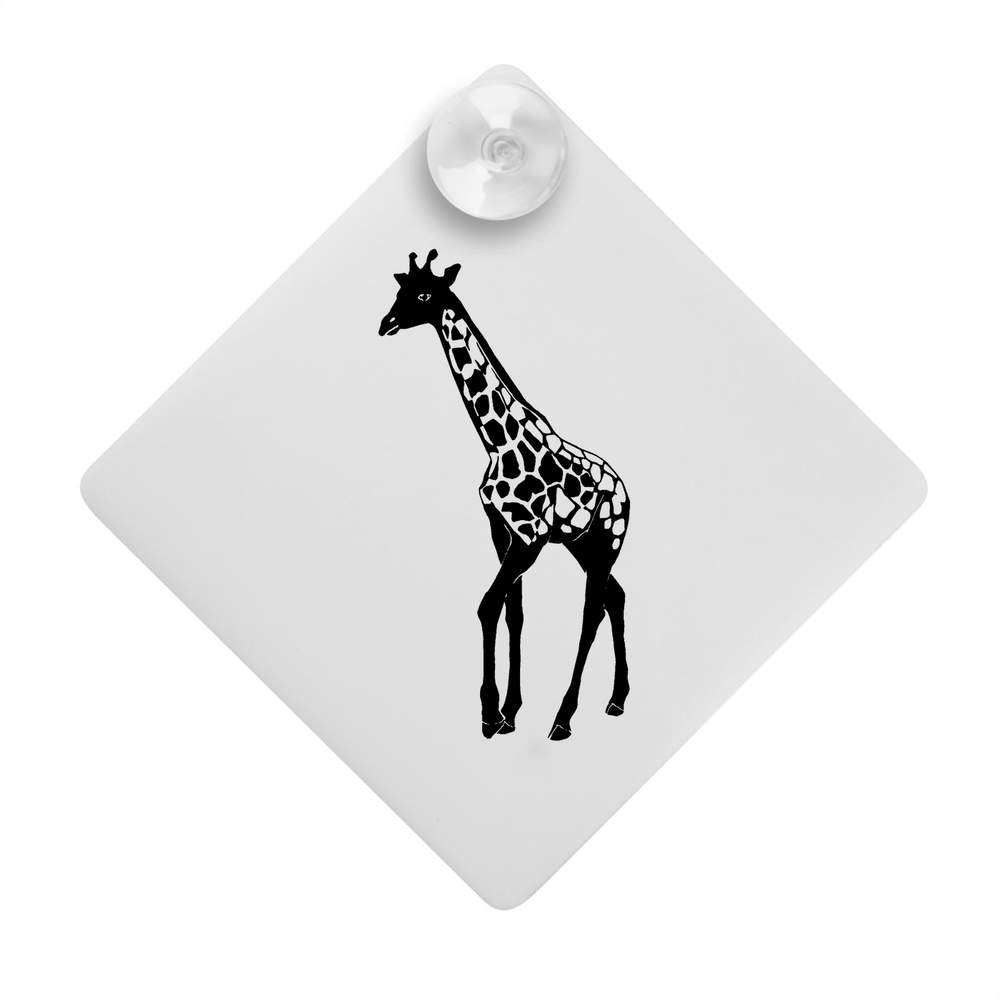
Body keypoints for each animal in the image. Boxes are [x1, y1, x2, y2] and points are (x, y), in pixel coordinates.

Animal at [378, 250, 631, 741]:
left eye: (424, 295)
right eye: (399, 291)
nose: (386, 323)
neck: (497, 442)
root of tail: (628, 493)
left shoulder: (529, 538)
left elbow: (487, 605)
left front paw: (489, 715)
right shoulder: (502, 532)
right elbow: (514, 612)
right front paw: (510, 712)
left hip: (607, 543)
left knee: (592, 611)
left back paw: (563, 719)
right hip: (584, 545)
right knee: (617, 597)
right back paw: (616, 700)